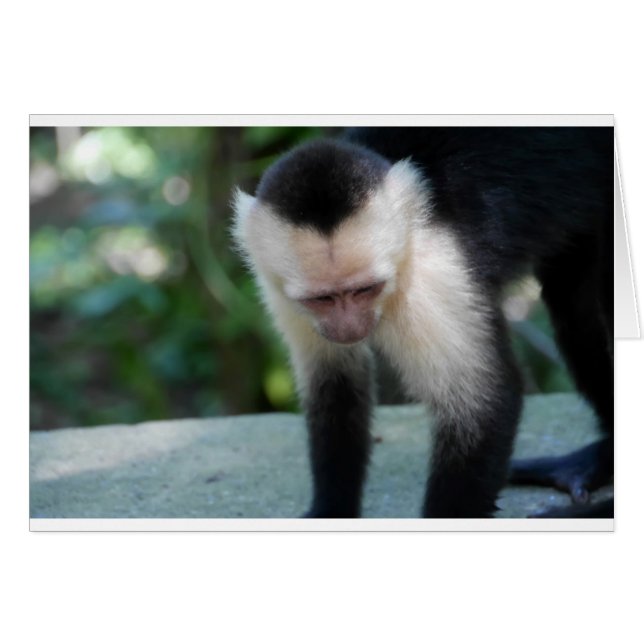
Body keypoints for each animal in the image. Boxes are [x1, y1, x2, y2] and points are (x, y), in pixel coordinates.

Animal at [231, 127, 614, 519]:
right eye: (321, 299)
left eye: (365, 289)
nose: (349, 328)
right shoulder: (277, 285)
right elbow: (334, 384)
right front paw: (330, 510)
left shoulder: (432, 269)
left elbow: (483, 403)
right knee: (575, 305)